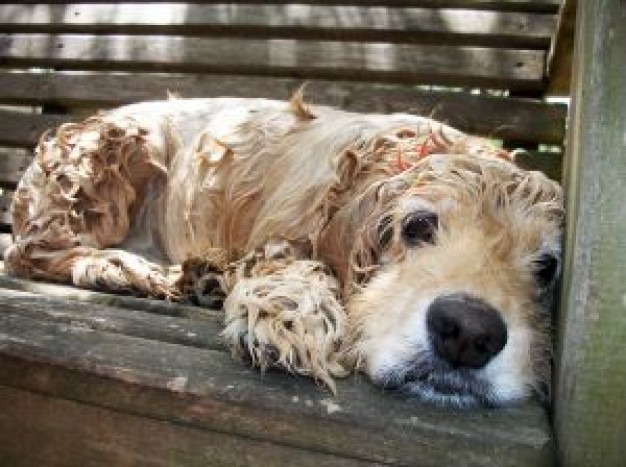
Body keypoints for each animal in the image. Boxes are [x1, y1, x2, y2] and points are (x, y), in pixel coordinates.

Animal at [3, 91, 560, 406]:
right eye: (418, 225)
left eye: (548, 267)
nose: (468, 333)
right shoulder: (284, 230)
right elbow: (288, 264)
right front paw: (296, 317)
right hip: (115, 146)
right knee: (32, 252)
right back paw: (124, 268)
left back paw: (200, 275)